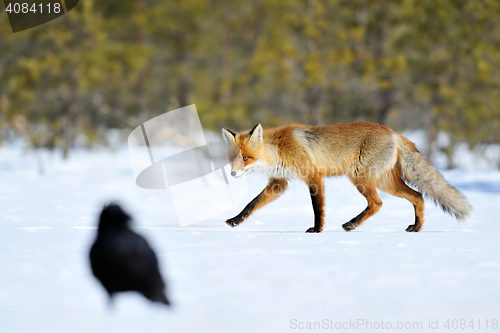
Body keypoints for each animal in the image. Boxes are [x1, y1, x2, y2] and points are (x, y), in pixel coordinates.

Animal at [223, 120, 472, 232]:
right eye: (233, 158)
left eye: (246, 158)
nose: (232, 173)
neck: (280, 149)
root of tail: (393, 132)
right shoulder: (279, 183)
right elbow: (252, 204)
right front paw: (236, 220)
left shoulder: (314, 176)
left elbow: (317, 207)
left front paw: (317, 229)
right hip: (386, 183)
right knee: (418, 196)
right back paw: (417, 227)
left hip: (361, 178)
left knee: (377, 204)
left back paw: (352, 224)